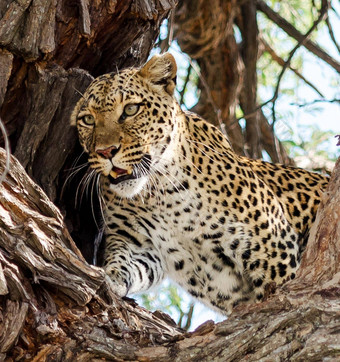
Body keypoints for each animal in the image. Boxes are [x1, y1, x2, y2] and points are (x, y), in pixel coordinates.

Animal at [71, 52, 330, 316]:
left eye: (131, 109)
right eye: (88, 119)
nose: (106, 151)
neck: (159, 193)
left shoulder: (273, 246)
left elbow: (280, 290)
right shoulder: (137, 243)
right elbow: (122, 263)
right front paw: (108, 278)